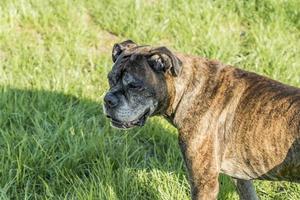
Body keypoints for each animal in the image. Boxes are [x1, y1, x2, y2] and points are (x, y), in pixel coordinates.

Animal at [103, 39, 300, 199]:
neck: (188, 89)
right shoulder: (242, 179)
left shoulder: (204, 183)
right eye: (110, 79)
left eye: (135, 85)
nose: (108, 100)